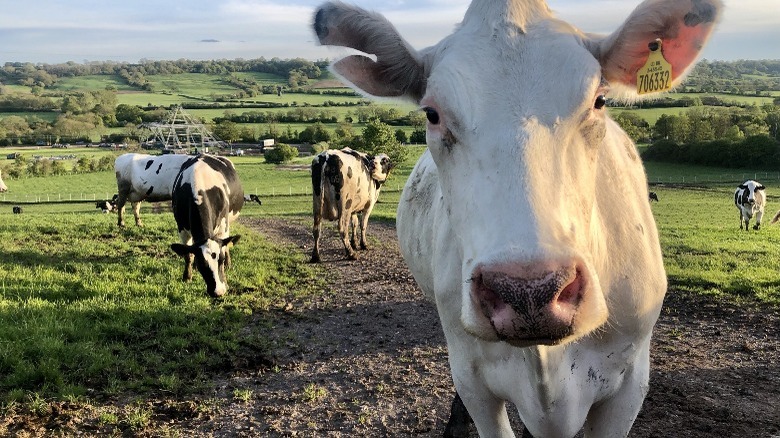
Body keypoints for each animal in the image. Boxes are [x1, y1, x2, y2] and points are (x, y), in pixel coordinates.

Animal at [170, 154, 244, 298]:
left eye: (220, 261)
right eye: (202, 264)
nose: (218, 292)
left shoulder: (223, 226)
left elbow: (225, 246)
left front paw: (225, 279)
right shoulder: (182, 227)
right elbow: (188, 254)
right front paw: (187, 277)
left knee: (228, 243)